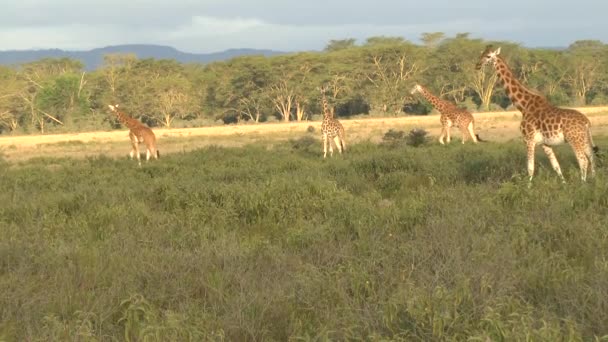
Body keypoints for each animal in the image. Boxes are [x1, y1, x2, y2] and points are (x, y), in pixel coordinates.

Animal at [476, 47, 600, 184]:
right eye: (481, 54)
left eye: (488, 56)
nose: (477, 65)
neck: (523, 106)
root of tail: (586, 122)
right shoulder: (544, 143)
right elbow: (556, 166)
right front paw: (564, 184)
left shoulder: (528, 139)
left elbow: (530, 168)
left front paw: (528, 187)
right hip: (584, 138)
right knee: (591, 157)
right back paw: (593, 180)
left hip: (574, 139)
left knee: (583, 160)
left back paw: (582, 183)